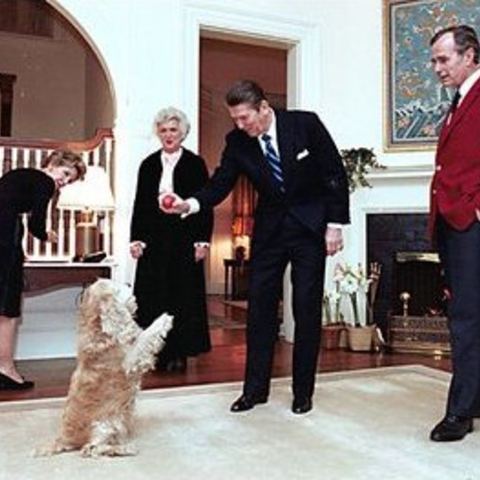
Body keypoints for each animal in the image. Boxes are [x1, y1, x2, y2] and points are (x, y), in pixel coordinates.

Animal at [37, 278, 172, 458]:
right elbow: (145, 336)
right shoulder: (131, 361)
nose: (129, 283)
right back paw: (125, 448)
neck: (99, 331)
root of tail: (64, 439)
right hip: (103, 425)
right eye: (117, 287)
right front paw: (163, 320)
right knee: (91, 449)